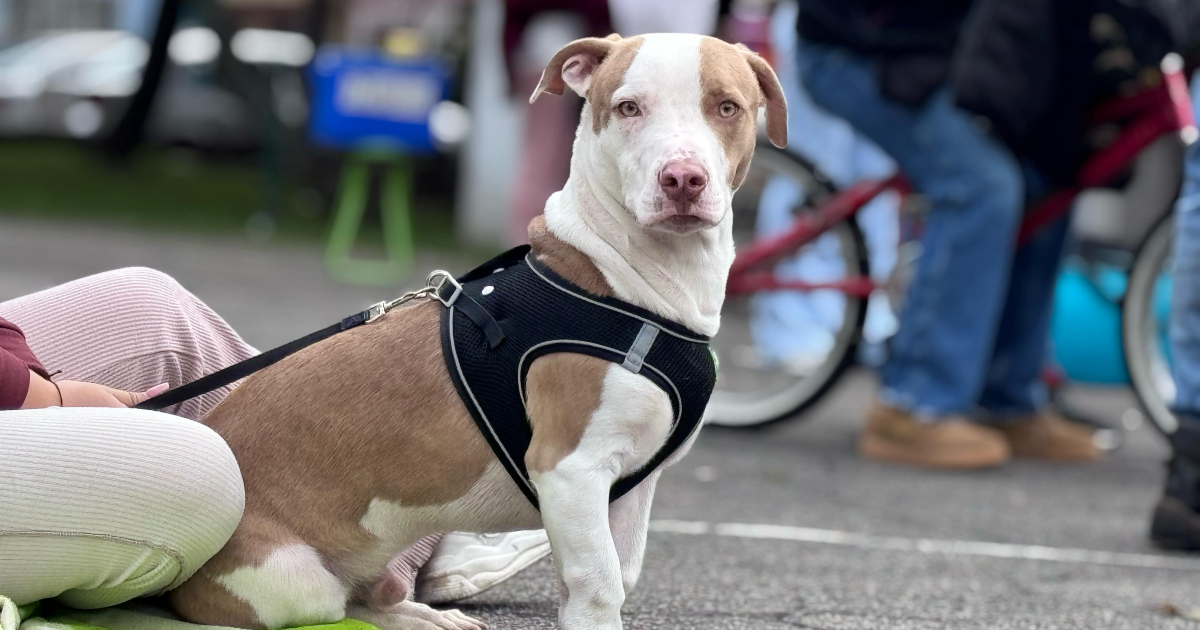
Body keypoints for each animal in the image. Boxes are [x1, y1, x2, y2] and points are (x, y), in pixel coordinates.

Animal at [171, 33, 787, 628]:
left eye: (727, 107)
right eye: (629, 107)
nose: (682, 178)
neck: (626, 286)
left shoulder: (632, 485)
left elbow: (620, 574)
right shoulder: (570, 469)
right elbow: (600, 588)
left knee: (367, 597)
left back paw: (425, 617)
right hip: (292, 579)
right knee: (334, 606)